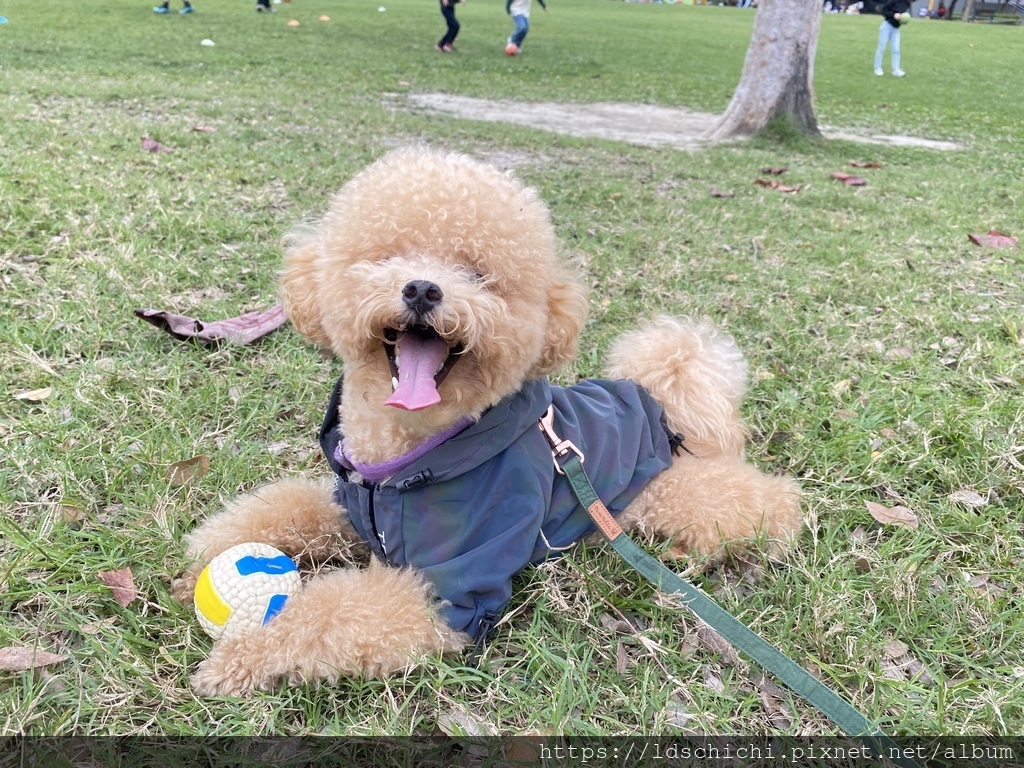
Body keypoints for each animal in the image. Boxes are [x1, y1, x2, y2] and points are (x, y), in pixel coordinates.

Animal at [172, 145, 802, 696]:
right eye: (387, 258)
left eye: (477, 274)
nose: (422, 288)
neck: (407, 460)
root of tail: (661, 398)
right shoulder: (350, 509)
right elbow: (283, 510)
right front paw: (199, 562)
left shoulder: (448, 591)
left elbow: (333, 615)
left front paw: (240, 656)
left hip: (669, 494)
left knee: (762, 503)